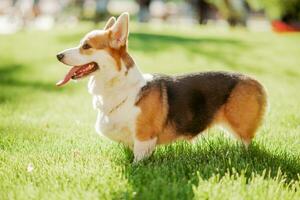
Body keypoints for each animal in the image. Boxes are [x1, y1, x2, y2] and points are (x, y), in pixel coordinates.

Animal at [56, 12, 268, 162]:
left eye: (86, 46)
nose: (58, 55)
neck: (120, 88)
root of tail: (255, 81)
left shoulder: (144, 139)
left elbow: (138, 161)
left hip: (240, 126)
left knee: (247, 144)